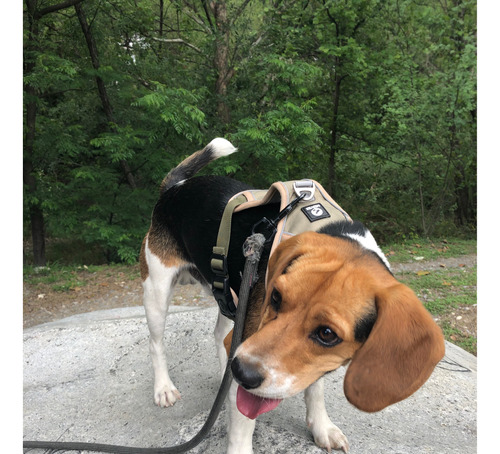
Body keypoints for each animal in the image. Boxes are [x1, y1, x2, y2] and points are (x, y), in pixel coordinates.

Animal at [140, 139, 446, 454]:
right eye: (274, 297)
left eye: (327, 334)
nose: (241, 372)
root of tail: (175, 188)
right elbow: (242, 427)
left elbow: (315, 388)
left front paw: (322, 426)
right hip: (157, 289)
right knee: (156, 343)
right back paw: (165, 388)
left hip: (230, 301)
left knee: (219, 335)